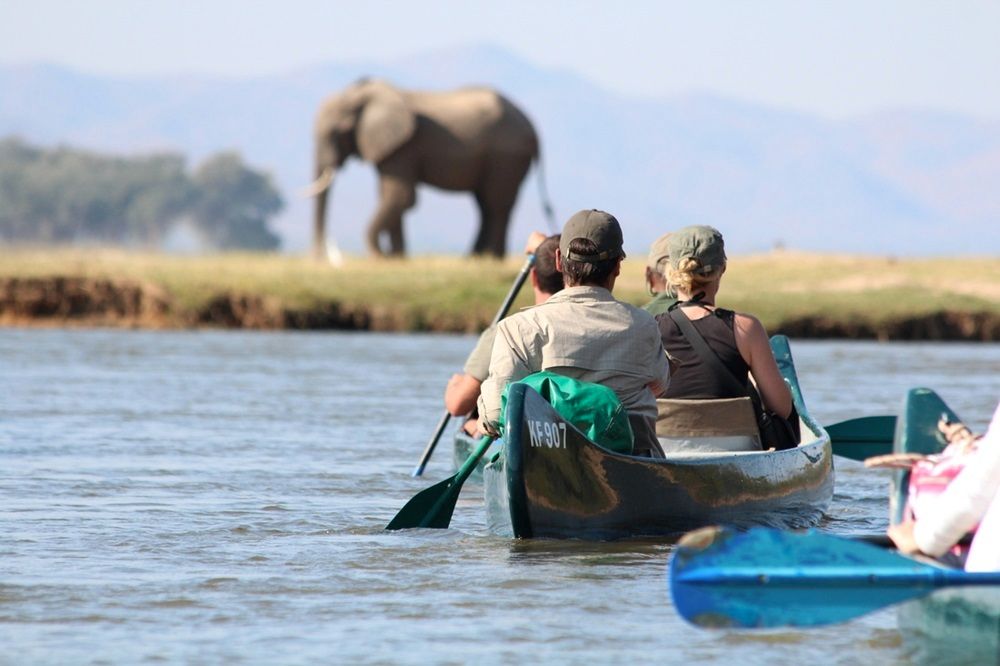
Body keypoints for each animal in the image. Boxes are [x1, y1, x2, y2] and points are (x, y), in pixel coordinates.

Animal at [304, 80, 556, 260]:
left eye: (338, 131)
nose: (319, 258)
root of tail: (534, 128)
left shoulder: (404, 147)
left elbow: (402, 197)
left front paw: (382, 257)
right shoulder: (391, 150)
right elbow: (390, 196)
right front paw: (397, 259)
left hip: (506, 156)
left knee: (496, 205)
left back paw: (489, 258)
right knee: (485, 205)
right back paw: (474, 259)